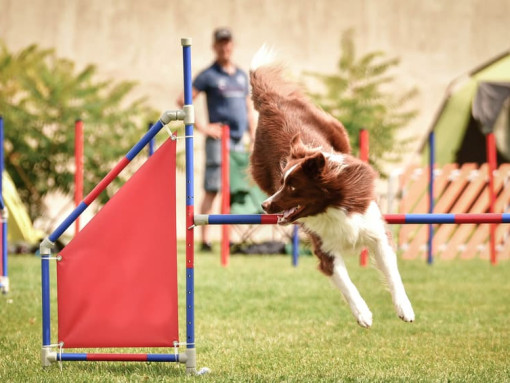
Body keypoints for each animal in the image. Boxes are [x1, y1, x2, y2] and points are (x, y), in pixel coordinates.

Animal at [251, 46, 414, 328]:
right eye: (282, 182)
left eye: (292, 187)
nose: (265, 205)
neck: (332, 206)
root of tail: (271, 100)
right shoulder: (324, 249)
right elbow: (347, 284)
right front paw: (363, 313)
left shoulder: (375, 230)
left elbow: (393, 273)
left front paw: (405, 307)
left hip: (339, 133)